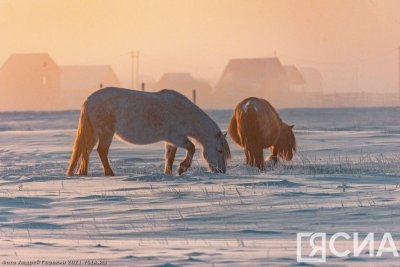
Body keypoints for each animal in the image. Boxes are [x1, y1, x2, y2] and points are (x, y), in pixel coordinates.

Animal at [66, 87, 231, 177]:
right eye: (219, 150)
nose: (221, 171)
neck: (183, 112)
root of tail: (89, 100)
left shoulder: (170, 141)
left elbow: (169, 158)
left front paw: (169, 174)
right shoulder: (176, 137)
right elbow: (191, 147)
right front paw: (182, 168)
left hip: (94, 133)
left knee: (86, 151)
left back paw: (83, 173)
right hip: (106, 133)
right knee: (101, 151)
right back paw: (110, 173)